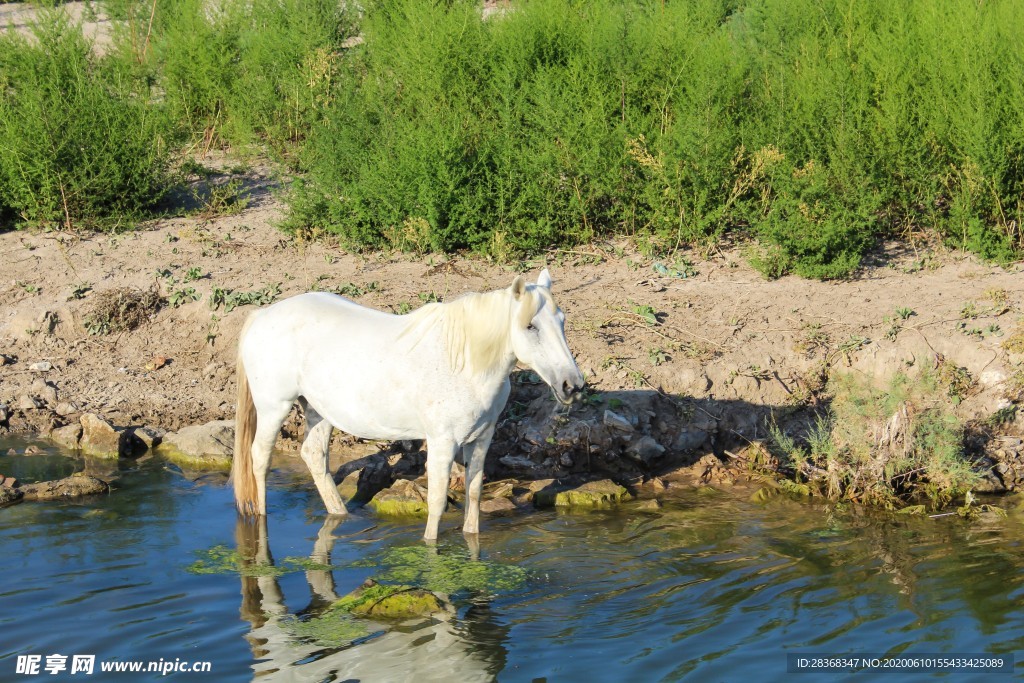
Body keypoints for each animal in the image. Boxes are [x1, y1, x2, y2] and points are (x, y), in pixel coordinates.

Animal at [231, 269, 584, 540]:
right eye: (530, 326)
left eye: (562, 320)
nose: (572, 385)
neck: (465, 363)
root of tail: (262, 315)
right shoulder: (442, 442)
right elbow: (438, 502)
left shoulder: (481, 439)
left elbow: (473, 494)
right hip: (274, 408)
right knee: (259, 458)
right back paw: (261, 521)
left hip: (319, 410)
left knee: (314, 456)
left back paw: (340, 514)